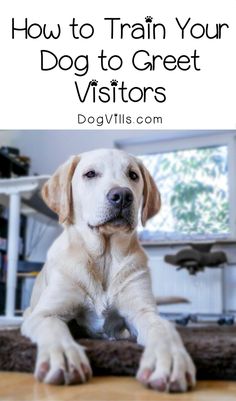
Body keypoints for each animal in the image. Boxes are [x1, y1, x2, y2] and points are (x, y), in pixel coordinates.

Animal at [21, 148, 195, 392]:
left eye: (133, 175)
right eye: (90, 174)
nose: (122, 195)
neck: (105, 258)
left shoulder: (144, 312)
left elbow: (164, 329)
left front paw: (169, 360)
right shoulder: (44, 313)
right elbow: (53, 328)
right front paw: (63, 356)